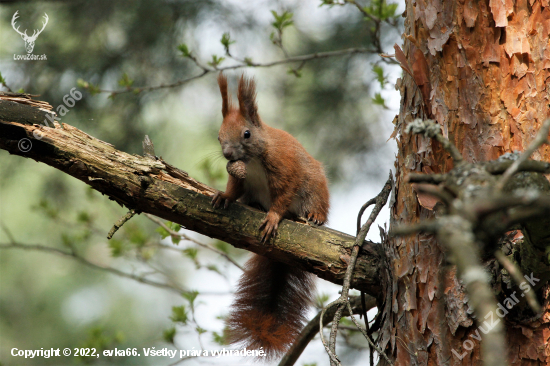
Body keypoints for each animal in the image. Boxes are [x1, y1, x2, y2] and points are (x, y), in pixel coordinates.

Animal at [212, 73, 332, 358]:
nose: (228, 154)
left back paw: (314, 216)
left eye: (246, 134)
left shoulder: (285, 169)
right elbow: (234, 188)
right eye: (218, 136)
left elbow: (284, 195)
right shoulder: (239, 176)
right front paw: (224, 196)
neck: (253, 159)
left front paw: (274, 218)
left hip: (314, 188)